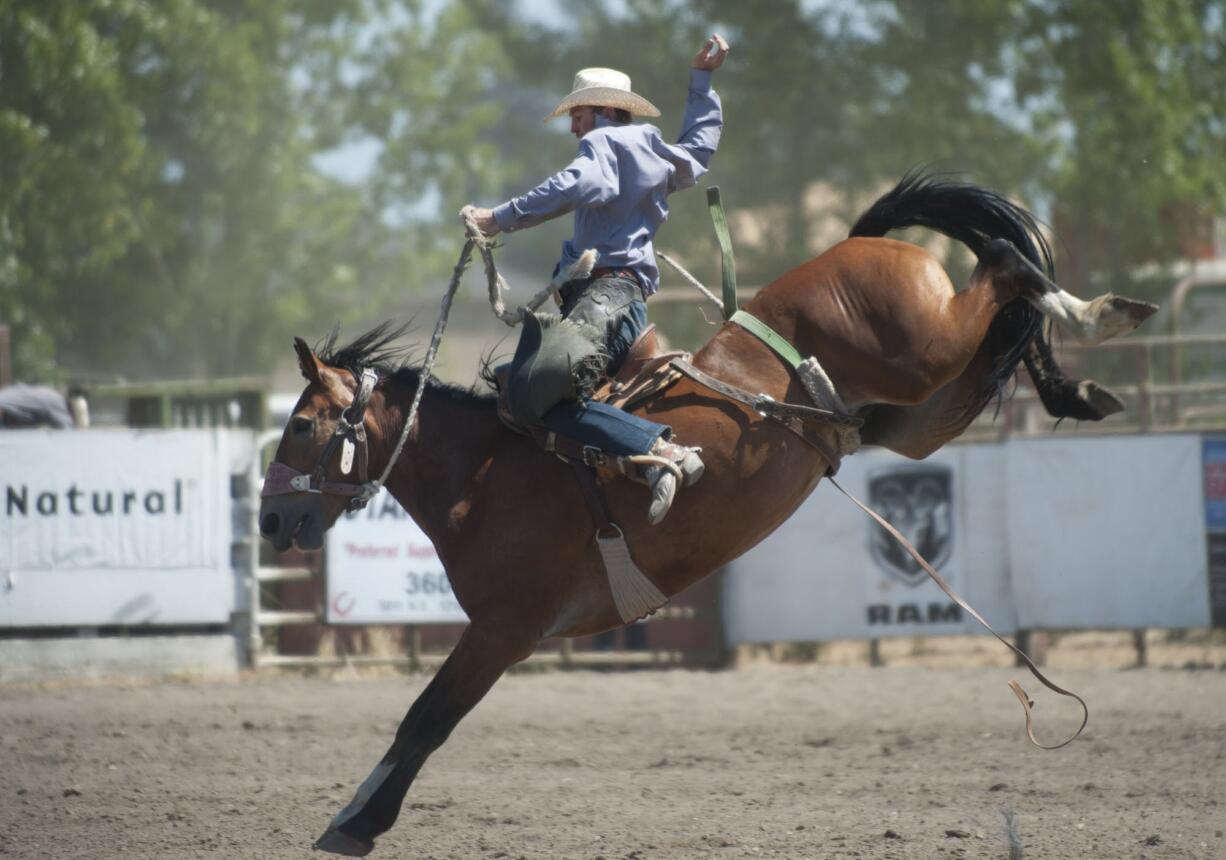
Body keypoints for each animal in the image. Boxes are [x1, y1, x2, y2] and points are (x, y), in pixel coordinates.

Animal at [261, 172, 1157, 853]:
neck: (486, 473)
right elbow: (421, 721)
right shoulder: (503, 631)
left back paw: (1099, 313)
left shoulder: (504, 628)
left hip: (924, 350)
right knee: (987, 348)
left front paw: (355, 822)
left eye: (301, 424)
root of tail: (862, 240)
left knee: (1004, 263)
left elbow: (425, 720)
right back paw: (1084, 379)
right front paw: (354, 814)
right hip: (907, 417)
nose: (271, 523)